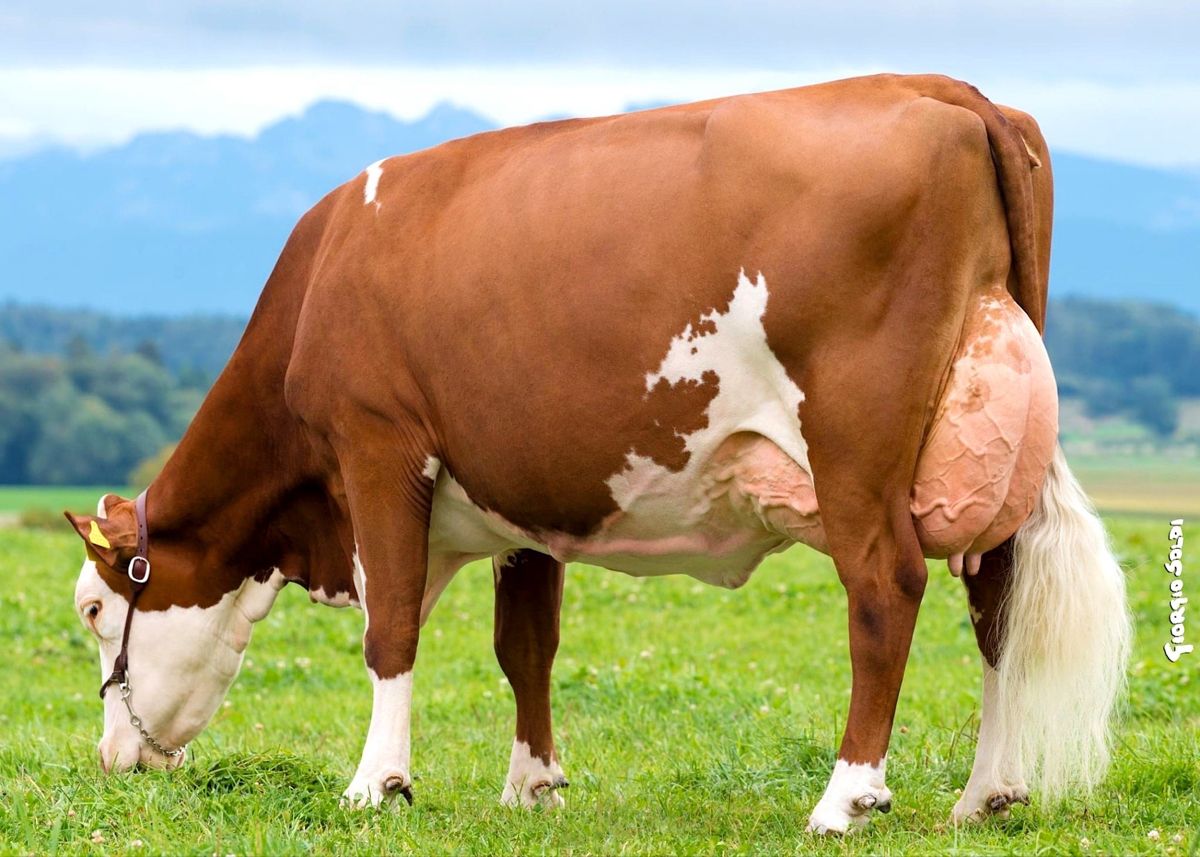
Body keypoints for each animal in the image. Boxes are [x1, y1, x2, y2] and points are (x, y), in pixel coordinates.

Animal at [66, 73, 1130, 834]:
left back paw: (845, 796)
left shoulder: (377, 446)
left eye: (94, 608)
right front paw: (532, 783)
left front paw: (378, 783)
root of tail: (942, 89)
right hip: (983, 438)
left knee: (885, 588)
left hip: (855, 444)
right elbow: (525, 645)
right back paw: (987, 793)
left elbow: (392, 627)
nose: (115, 761)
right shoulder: (522, 498)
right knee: (996, 601)